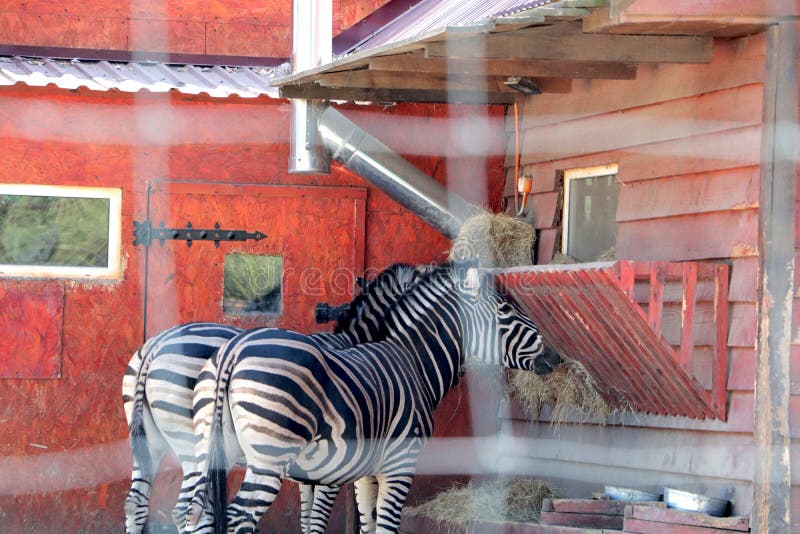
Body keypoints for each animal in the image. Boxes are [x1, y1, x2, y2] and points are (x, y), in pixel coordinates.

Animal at [122, 263, 427, 534]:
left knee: (137, 503)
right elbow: (316, 512)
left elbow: (306, 514)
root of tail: (154, 348)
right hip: (192, 445)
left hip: (152, 441)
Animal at [185, 262, 561, 533]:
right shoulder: (399, 465)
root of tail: (233, 351)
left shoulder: (364, 473)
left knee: (195, 515)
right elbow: (384, 528)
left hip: (207, 450)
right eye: (506, 314)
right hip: (268, 457)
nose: (555, 356)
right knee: (236, 518)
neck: (413, 361)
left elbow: (366, 526)